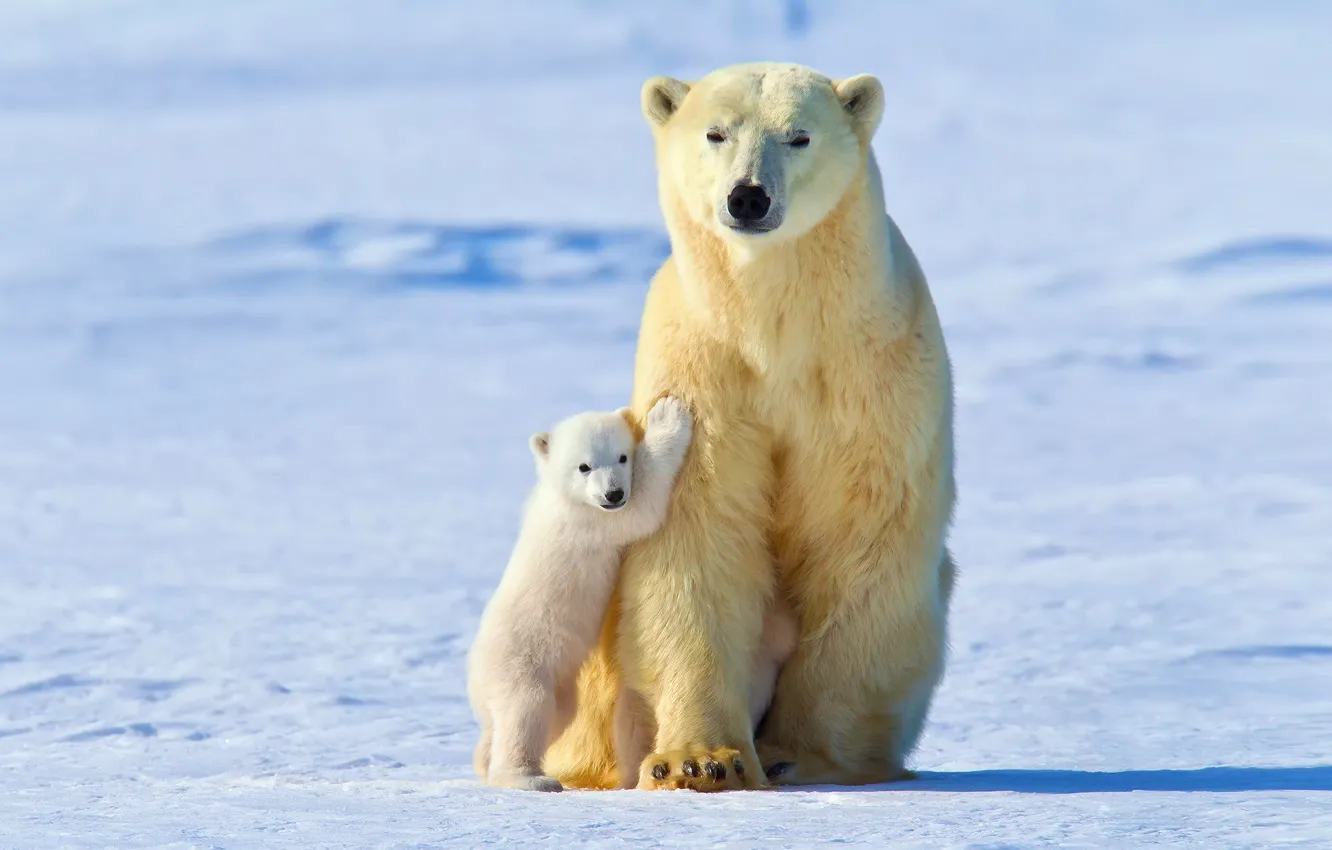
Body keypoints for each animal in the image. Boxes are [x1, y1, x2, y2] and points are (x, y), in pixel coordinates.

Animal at [466, 397, 692, 794]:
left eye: (621, 456)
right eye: (584, 466)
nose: (613, 493)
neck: (563, 496)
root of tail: (474, 676)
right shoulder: (591, 521)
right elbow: (641, 507)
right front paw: (667, 416)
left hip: (557, 686)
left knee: (550, 716)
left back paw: (485, 758)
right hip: (521, 661)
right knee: (525, 710)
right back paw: (531, 778)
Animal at [543, 61, 959, 794]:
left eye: (799, 135)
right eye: (716, 132)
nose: (748, 198)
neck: (776, 328)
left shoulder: (870, 378)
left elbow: (861, 539)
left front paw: (803, 754)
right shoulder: (704, 373)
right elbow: (698, 538)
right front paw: (703, 759)